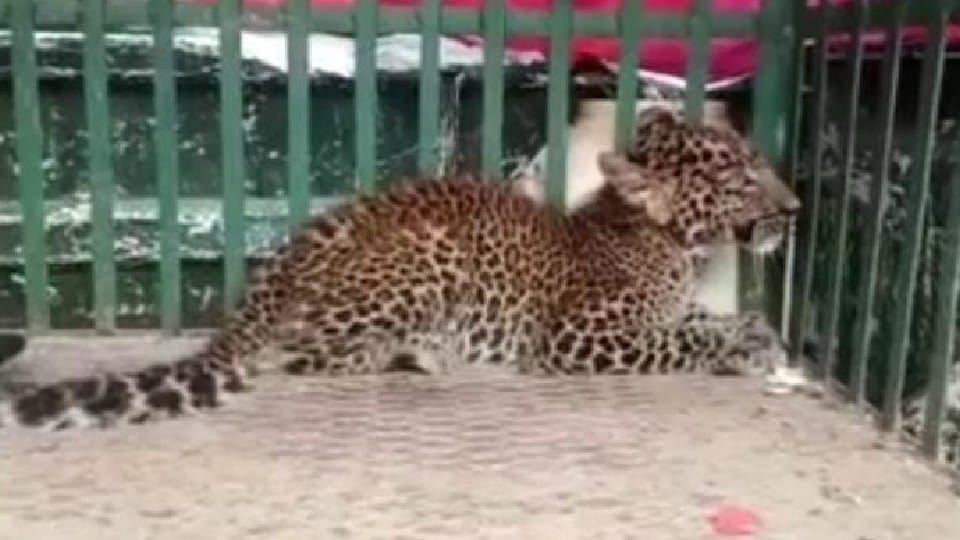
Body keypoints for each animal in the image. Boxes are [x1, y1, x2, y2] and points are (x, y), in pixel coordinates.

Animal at [0, 106, 800, 431]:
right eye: (740, 177)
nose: (793, 209)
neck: (674, 245)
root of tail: (268, 283)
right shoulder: (576, 336)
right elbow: (680, 340)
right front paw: (742, 348)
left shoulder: (667, 306)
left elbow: (701, 319)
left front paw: (757, 333)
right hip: (427, 257)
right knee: (303, 357)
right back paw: (421, 354)